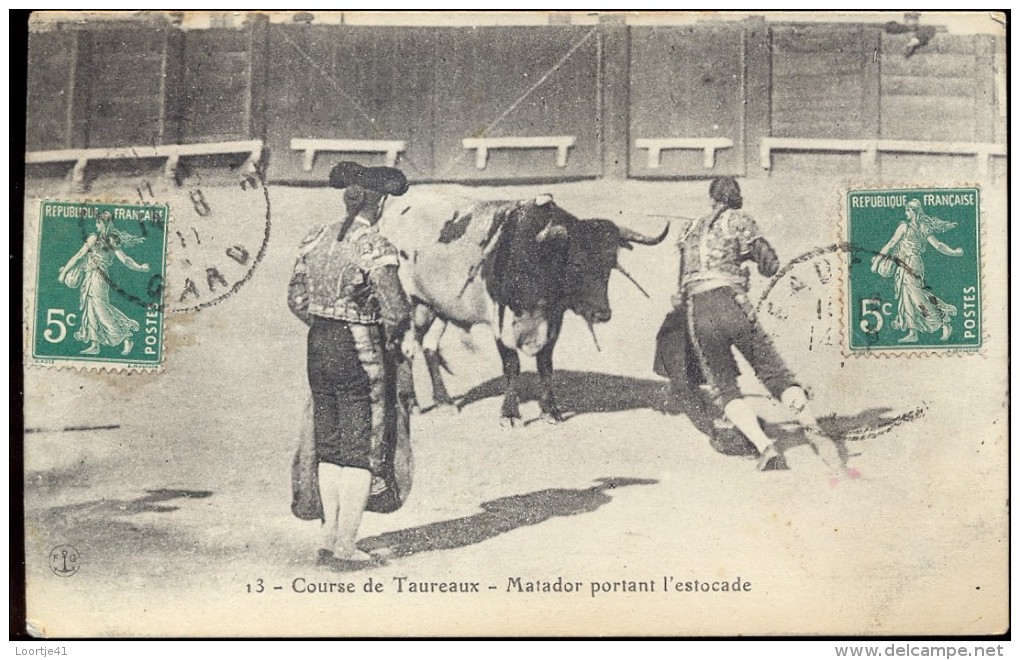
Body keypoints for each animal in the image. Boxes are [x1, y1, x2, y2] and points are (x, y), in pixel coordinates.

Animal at [379, 190, 665, 428]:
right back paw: (412, 403)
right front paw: (510, 414)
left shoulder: (553, 320)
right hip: (408, 303)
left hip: (438, 307)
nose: (602, 314)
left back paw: (443, 401)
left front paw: (550, 411)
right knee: (405, 348)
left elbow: (545, 364)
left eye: (610, 265)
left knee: (428, 347)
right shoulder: (500, 320)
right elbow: (512, 365)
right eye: (575, 263)